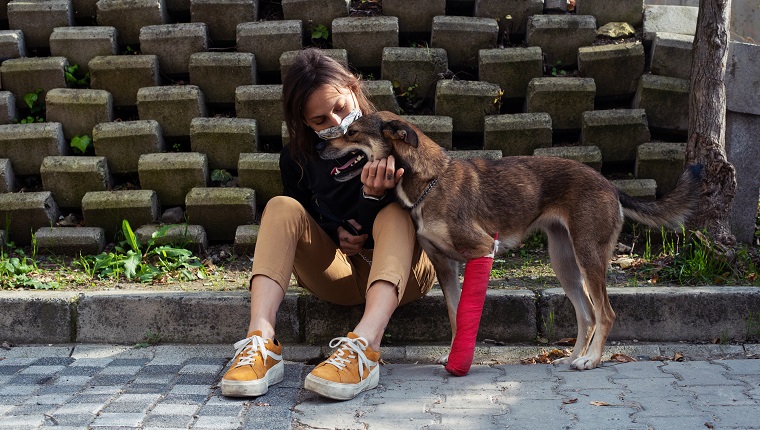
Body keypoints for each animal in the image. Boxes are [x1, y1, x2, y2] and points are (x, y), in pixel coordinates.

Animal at [318, 111, 704, 370]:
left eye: (351, 132)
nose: (319, 148)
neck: (429, 181)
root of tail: (609, 184)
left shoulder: (482, 249)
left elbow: (467, 313)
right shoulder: (446, 266)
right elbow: (456, 315)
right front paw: (454, 353)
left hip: (588, 255)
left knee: (605, 313)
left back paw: (591, 360)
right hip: (564, 263)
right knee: (587, 314)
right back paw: (572, 356)